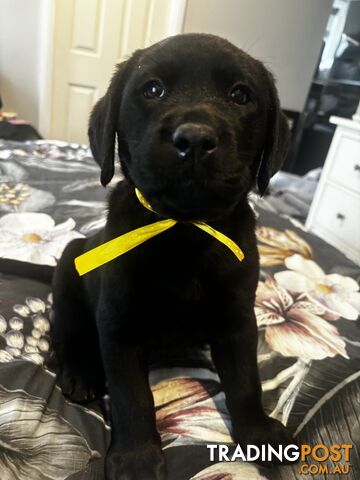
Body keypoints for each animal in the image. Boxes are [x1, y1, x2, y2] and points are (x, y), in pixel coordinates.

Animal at [51, 34, 292, 480]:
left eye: (240, 95)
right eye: (153, 90)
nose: (194, 139)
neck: (184, 231)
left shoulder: (238, 320)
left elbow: (245, 380)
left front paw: (258, 432)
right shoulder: (119, 325)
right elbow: (132, 396)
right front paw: (138, 457)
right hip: (68, 266)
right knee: (68, 330)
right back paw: (80, 372)